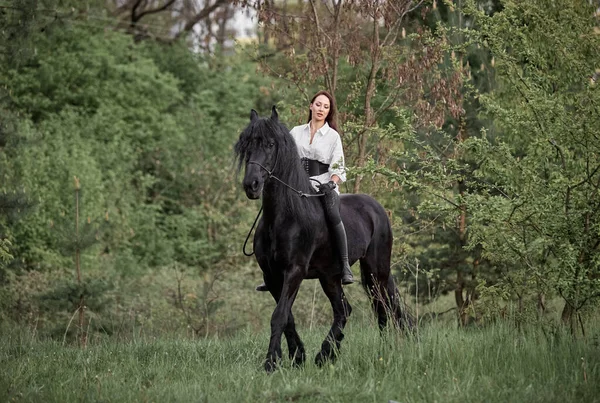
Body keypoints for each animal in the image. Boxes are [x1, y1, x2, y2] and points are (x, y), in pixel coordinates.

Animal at [234, 106, 412, 372]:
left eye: (270, 144)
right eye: (247, 145)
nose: (251, 185)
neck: (285, 216)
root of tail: (377, 208)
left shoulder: (294, 271)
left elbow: (279, 316)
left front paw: (271, 363)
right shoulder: (272, 275)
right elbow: (287, 317)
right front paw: (296, 357)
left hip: (375, 271)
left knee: (384, 305)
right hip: (330, 277)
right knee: (344, 310)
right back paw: (326, 355)